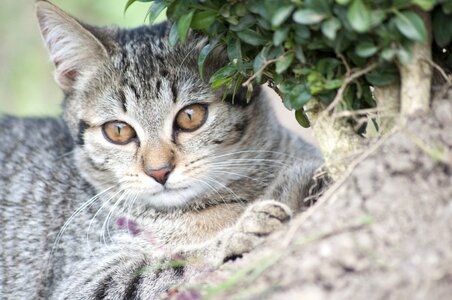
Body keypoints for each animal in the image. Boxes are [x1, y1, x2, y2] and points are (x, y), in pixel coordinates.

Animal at [0, 1, 324, 298]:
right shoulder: (82, 282)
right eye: (118, 131)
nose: (158, 171)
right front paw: (238, 232)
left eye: (190, 116)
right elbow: (166, 265)